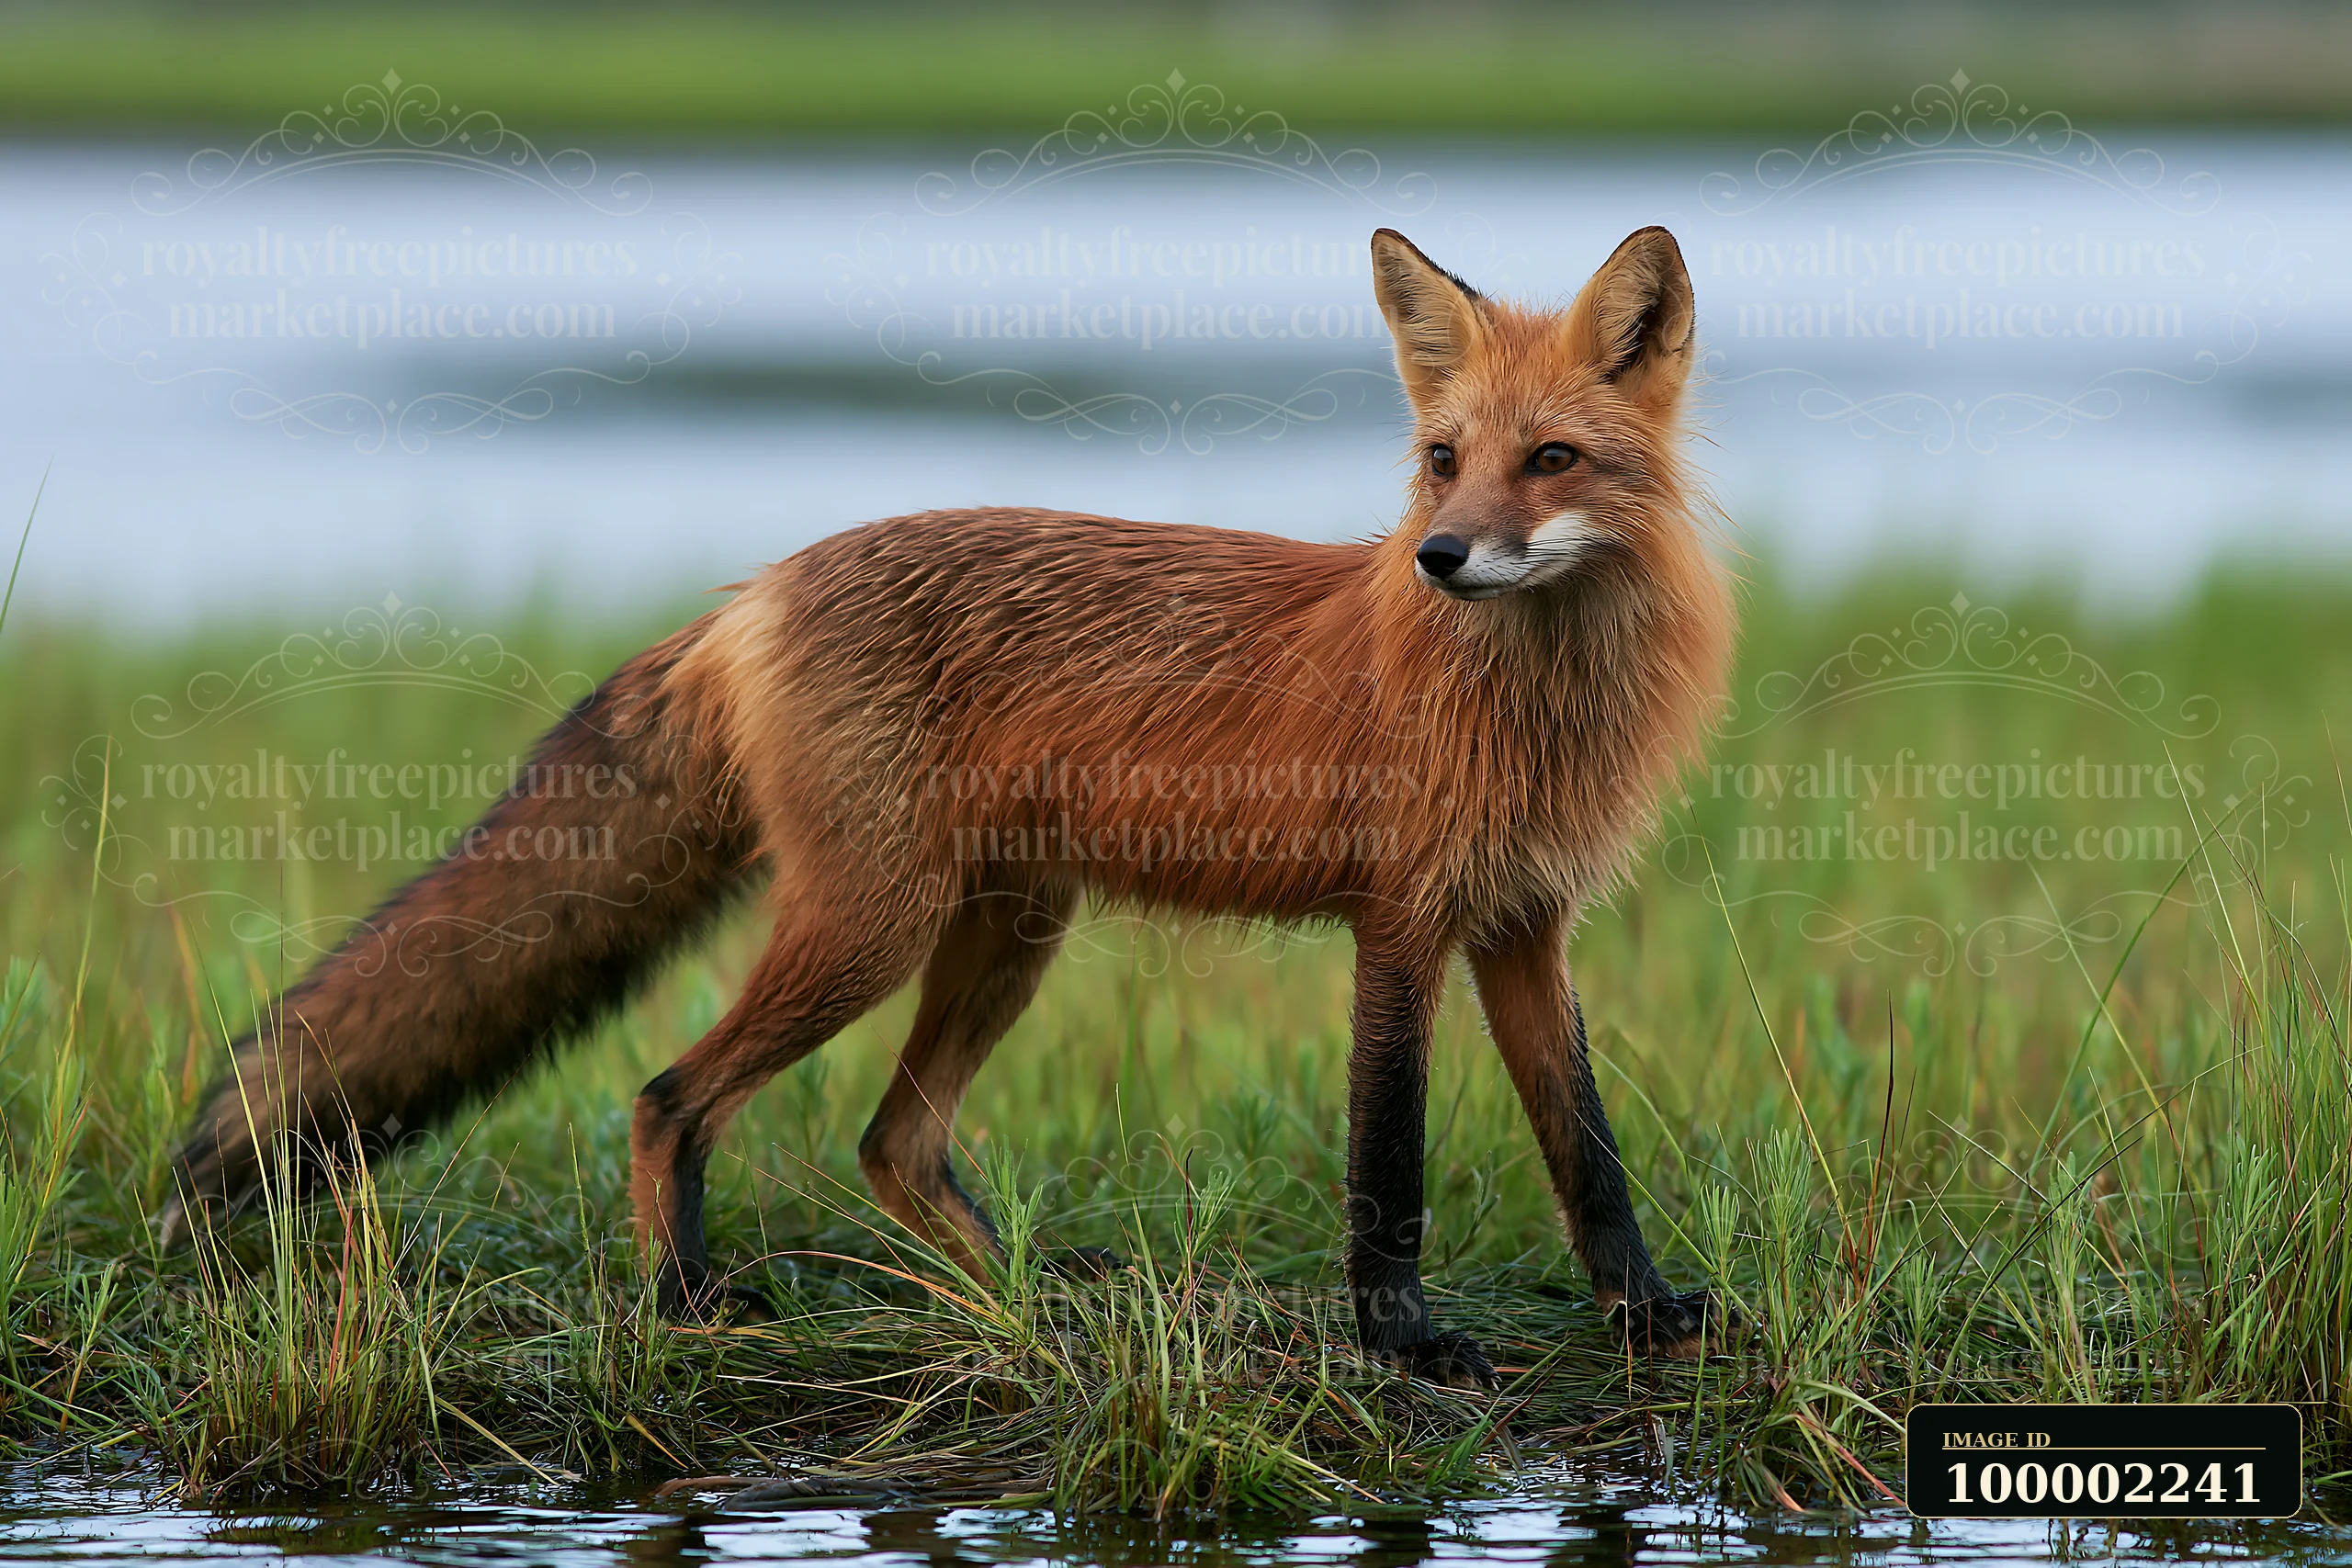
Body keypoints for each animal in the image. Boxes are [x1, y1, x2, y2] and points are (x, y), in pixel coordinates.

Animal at [161, 225, 1735, 1384]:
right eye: (1442, 459)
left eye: (1550, 459)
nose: (1440, 557)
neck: (1529, 703)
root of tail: (757, 587)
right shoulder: (1402, 923)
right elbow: (1387, 1161)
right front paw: (1403, 1338)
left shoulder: (1524, 924)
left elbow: (1588, 1149)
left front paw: (1643, 1308)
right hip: (878, 925)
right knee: (670, 1096)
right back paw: (687, 1299)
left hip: (1007, 929)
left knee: (893, 1142)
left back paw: (1043, 1305)